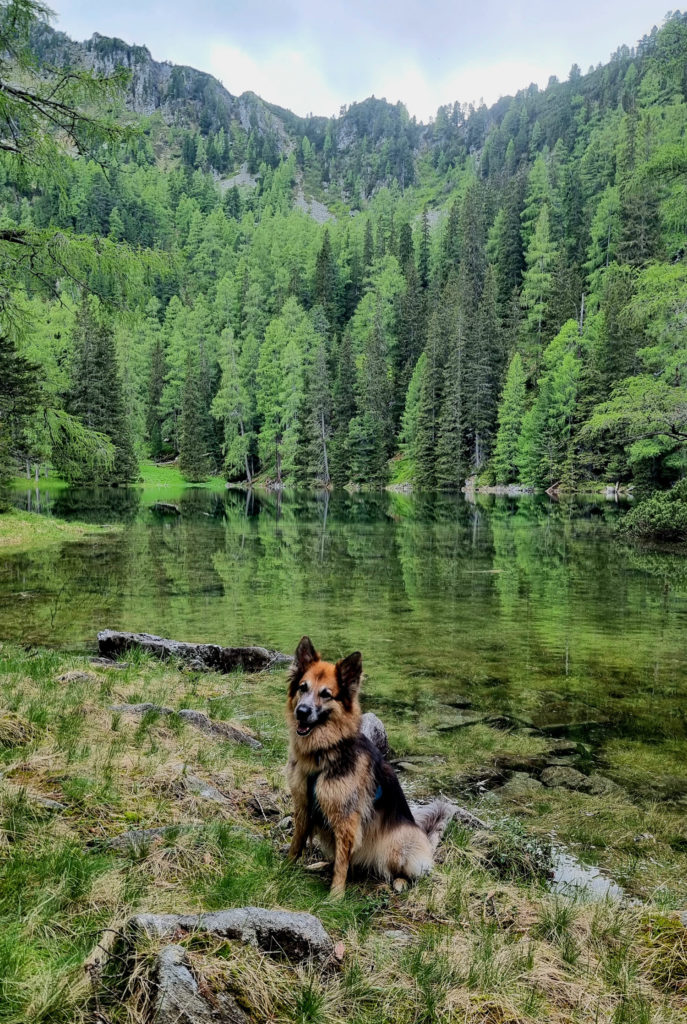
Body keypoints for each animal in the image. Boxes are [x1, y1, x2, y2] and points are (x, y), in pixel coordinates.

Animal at [286, 634, 456, 892]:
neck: (324, 752)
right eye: (302, 687)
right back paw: (322, 865)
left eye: (326, 694)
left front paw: (335, 895)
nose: (301, 712)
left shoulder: (346, 820)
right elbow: (296, 843)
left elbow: (342, 865)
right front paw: (283, 869)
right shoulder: (304, 806)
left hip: (397, 843)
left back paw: (399, 881)